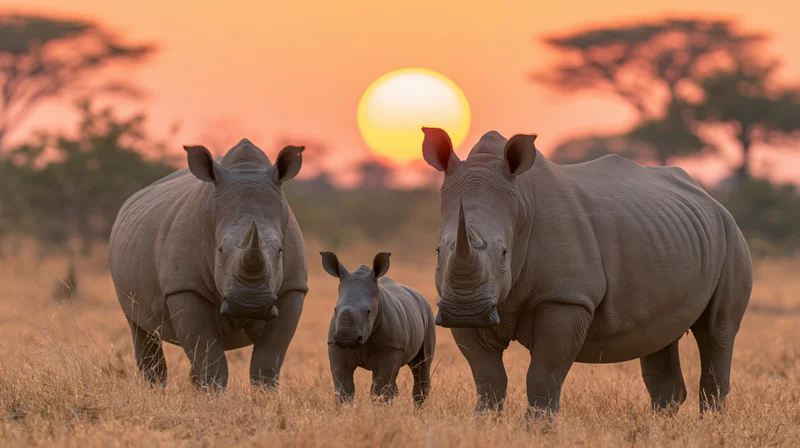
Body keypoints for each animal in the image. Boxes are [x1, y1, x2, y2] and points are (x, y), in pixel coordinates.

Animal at [108, 139, 308, 390]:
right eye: (220, 251)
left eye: (280, 251)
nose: (250, 304)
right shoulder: (184, 287)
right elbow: (209, 359)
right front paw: (211, 395)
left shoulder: (293, 288)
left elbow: (267, 362)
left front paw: (263, 396)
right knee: (142, 330)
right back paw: (154, 390)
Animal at [321, 252, 436, 407]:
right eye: (335, 309)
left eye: (368, 311)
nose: (347, 338)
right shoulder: (335, 345)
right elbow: (344, 388)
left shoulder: (392, 347)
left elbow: (379, 388)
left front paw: (379, 410)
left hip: (428, 314)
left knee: (422, 365)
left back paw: (418, 410)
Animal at [420, 127, 752, 419]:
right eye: (438, 251)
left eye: (504, 254)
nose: (466, 311)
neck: (520, 205)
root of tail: (711, 198)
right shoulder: (461, 303)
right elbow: (488, 380)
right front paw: (485, 425)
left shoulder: (566, 298)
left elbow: (543, 376)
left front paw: (537, 431)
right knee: (661, 335)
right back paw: (661, 430)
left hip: (731, 234)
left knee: (717, 330)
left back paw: (711, 427)